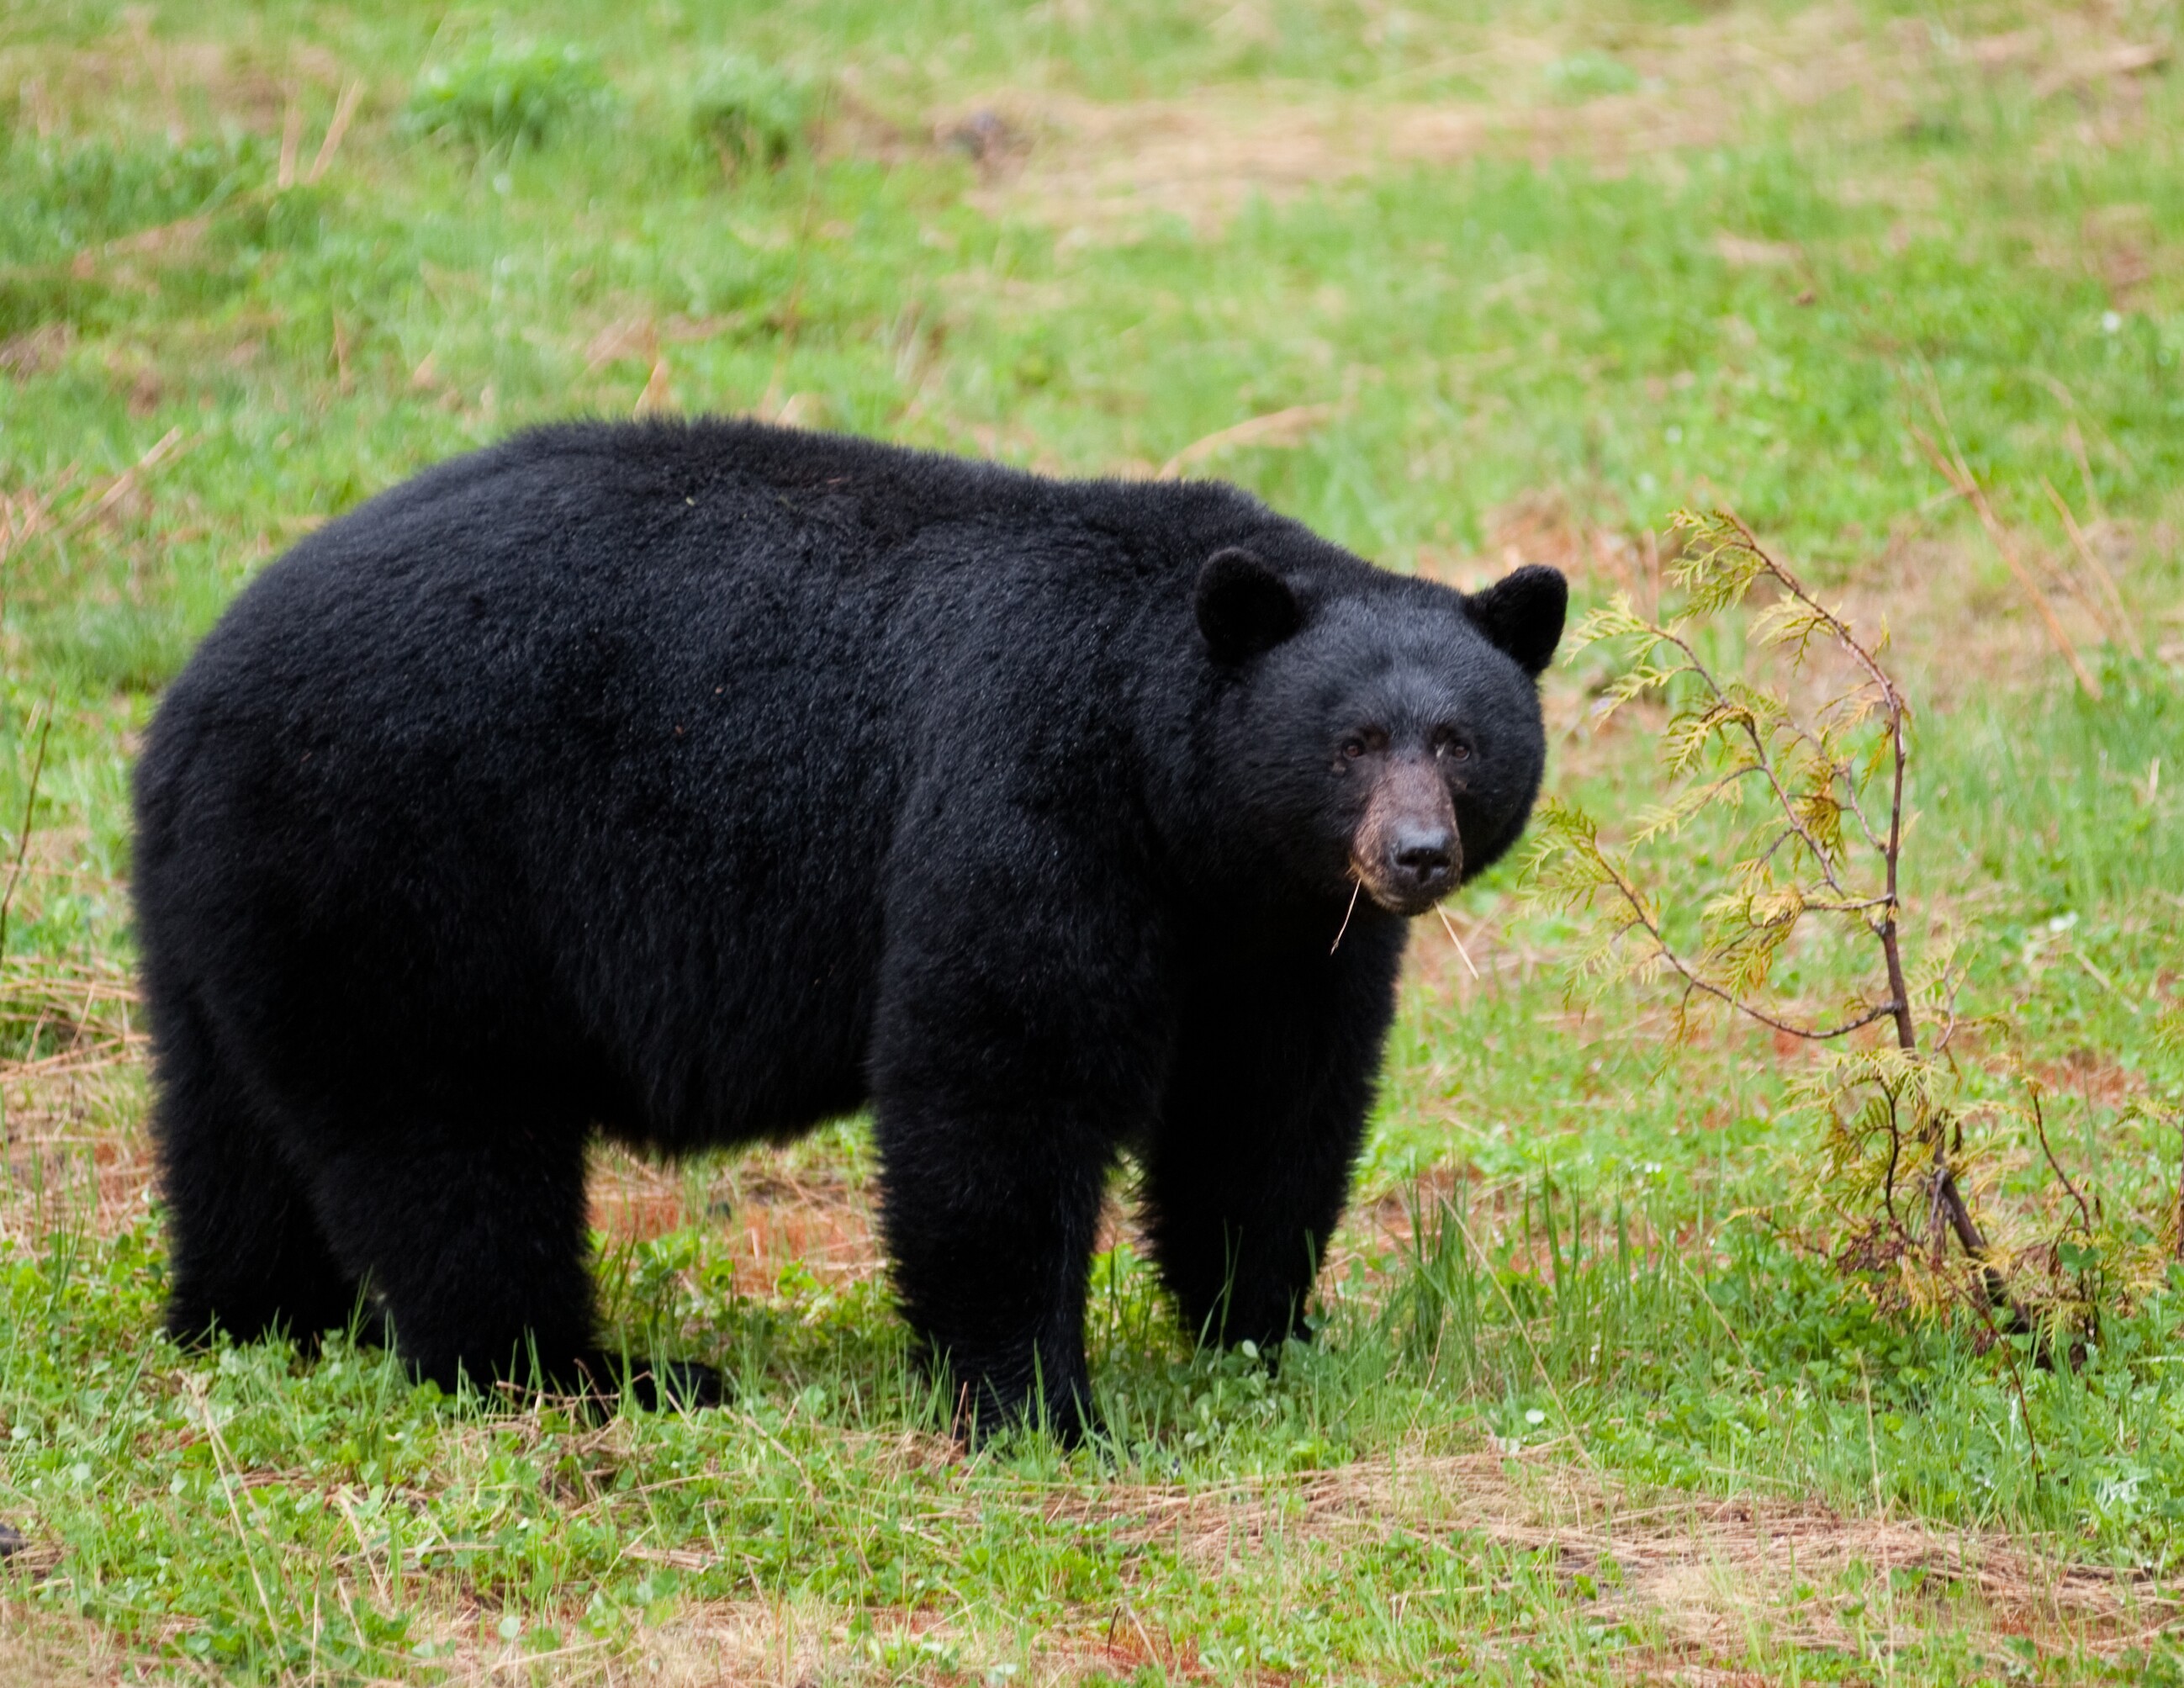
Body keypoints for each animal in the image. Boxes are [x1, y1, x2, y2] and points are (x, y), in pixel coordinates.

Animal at [136, 421, 1563, 1432]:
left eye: (1458, 739)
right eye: (1350, 742)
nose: (1412, 854)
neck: (1178, 804)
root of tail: (192, 693)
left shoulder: (1273, 927)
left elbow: (1266, 1107)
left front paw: (1271, 1332)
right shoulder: (1031, 790)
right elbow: (997, 1075)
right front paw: (1037, 1401)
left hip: (239, 906)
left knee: (236, 1131)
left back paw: (256, 1320)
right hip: (408, 864)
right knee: (449, 1145)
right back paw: (594, 1371)